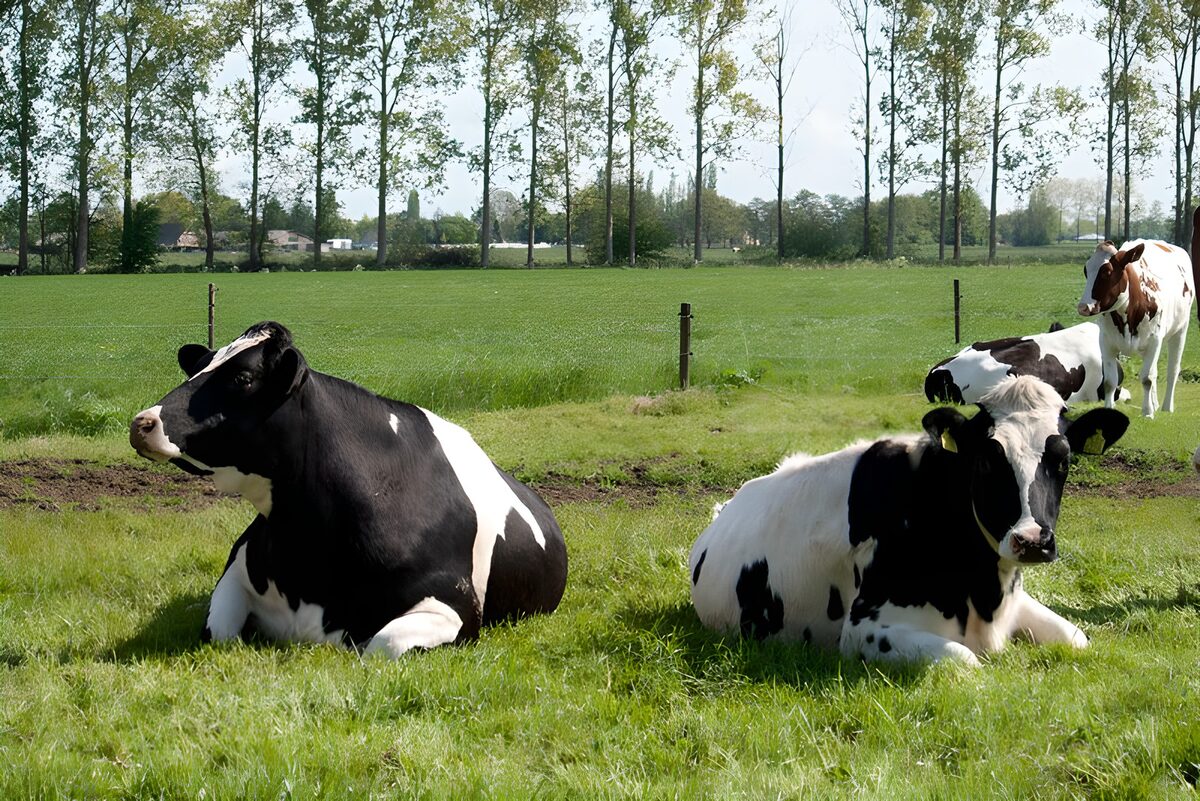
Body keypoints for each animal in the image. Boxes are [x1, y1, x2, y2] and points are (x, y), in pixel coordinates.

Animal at [129, 322, 568, 658]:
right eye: (199, 367)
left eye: (242, 378)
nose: (143, 422)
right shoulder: (236, 573)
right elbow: (219, 631)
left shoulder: (454, 607)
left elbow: (381, 646)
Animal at [688, 376, 1127, 666]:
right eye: (986, 460)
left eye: (1064, 459)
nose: (1033, 539)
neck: (983, 593)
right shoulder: (864, 630)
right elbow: (965, 660)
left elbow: (1078, 638)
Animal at [1077, 237, 1195, 418]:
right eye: (1086, 270)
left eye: (1107, 272)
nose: (1083, 307)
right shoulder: (1106, 342)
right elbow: (1110, 381)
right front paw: (1109, 408)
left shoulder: (1155, 340)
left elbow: (1147, 378)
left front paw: (1147, 413)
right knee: (1155, 371)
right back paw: (1155, 403)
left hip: (1180, 330)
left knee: (1172, 370)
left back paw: (1166, 407)